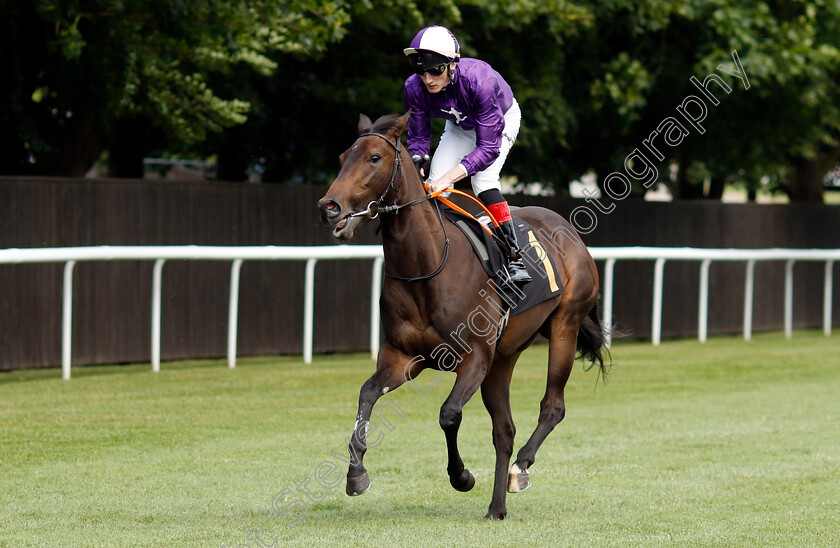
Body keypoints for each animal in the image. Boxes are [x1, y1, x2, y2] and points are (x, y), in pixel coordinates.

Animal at [318, 112, 608, 524]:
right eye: (344, 156)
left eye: (374, 157)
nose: (329, 206)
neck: (427, 267)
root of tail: (568, 230)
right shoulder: (402, 357)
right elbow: (368, 393)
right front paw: (356, 473)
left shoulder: (473, 359)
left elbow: (448, 414)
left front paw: (462, 475)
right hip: (503, 358)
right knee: (504, 430)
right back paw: (497, 507)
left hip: (564, 324)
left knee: (552, 407)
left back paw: (520, 470)